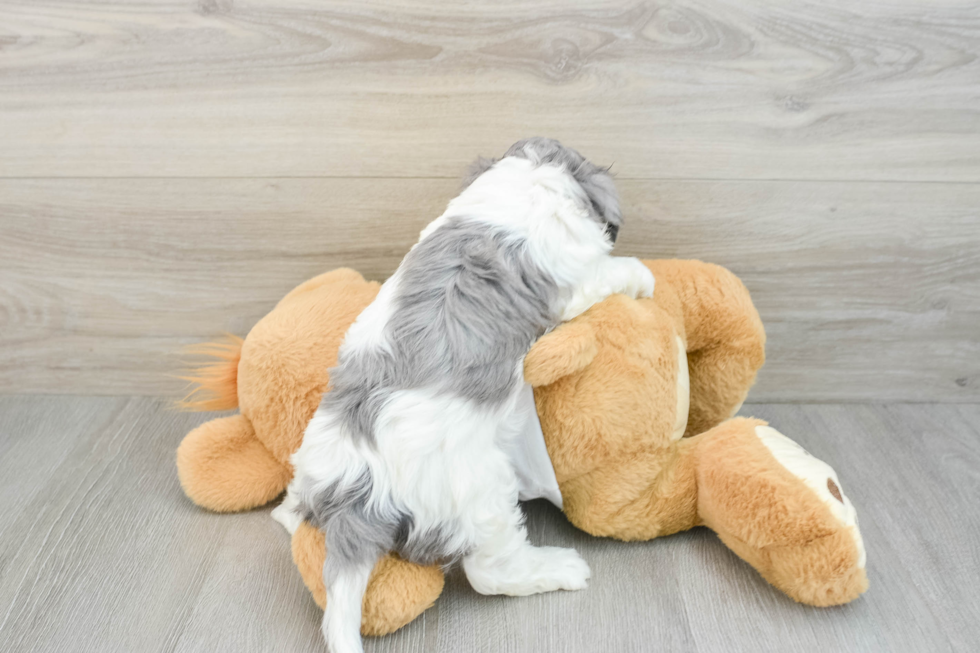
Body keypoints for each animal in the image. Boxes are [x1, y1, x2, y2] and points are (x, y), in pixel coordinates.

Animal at [276, 138, 656, 652]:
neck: (525, 179)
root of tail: (358, 495)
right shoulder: (575, 279)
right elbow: (609, 272)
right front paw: (642, 276)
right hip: (484, 492)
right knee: (488, 572)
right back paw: (559, 567)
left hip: (315, 465)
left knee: (296, 514)